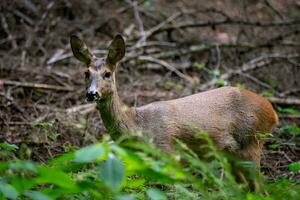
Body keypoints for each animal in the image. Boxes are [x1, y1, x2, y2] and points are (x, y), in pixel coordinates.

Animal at [70, 33, 278, 173]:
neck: (140, 125)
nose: (91, 94)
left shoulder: (169, 154)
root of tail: (273, 112)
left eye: (107, 73)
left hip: (251, 143)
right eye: (86, 72)